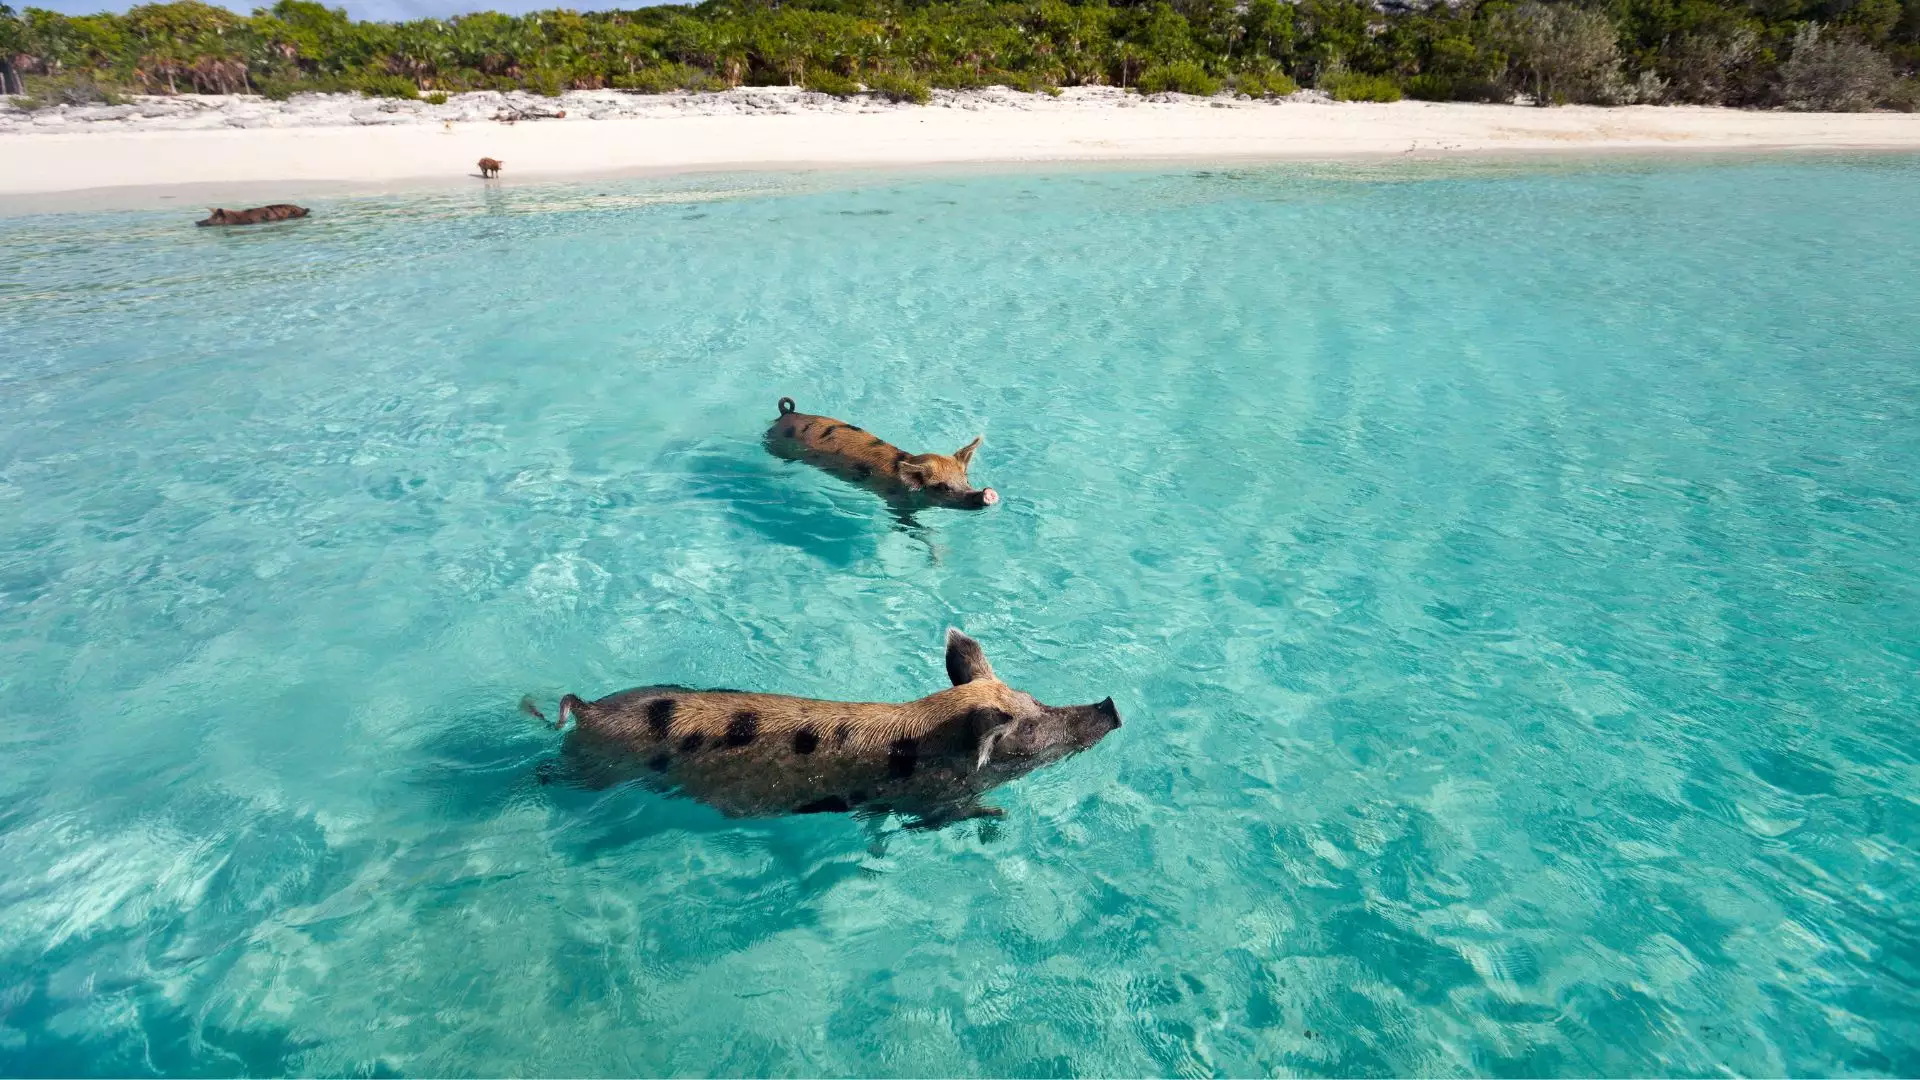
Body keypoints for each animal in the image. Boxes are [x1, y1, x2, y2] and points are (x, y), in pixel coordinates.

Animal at [525, 629, 1120, 829]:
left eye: (1035, 699)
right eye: (1030, 727)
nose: (1112, 705)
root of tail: (586, 709)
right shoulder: (930, 800)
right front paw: (998, 816)